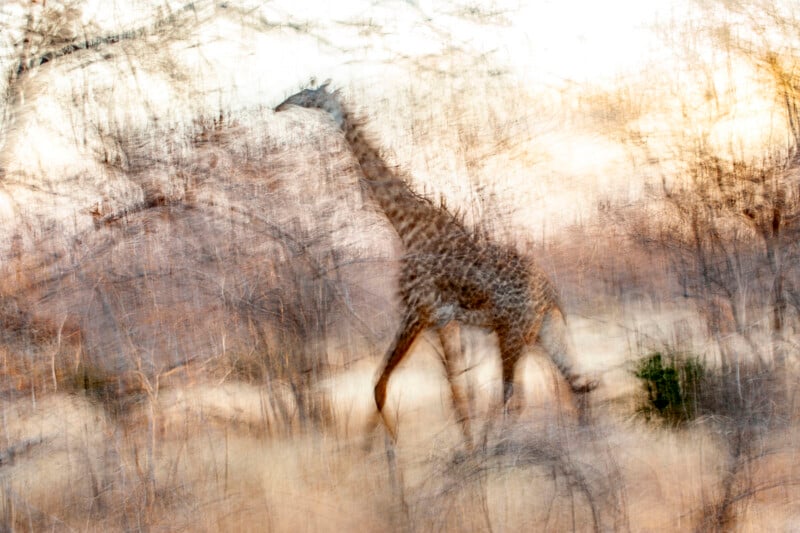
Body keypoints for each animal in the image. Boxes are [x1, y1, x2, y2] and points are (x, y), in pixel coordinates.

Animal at [275, 83, 598, 444]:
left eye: (306, 94)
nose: (279, 107)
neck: (407, 226)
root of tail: (550, 292)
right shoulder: (442, 321)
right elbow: (453, 391)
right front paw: (459, 444)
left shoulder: (417, 310)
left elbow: (380, 386)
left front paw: (388, 447)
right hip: (542, 331)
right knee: (577, 384)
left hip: (512, 333)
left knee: (516, 396)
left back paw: (498, 446)